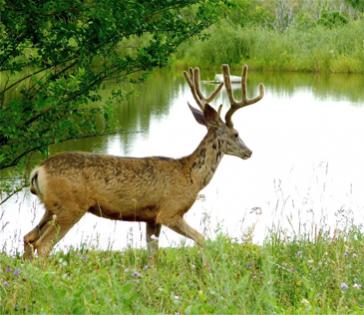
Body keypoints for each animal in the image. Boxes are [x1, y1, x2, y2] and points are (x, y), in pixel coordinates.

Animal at [24, 63, 264, 260]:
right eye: (236, 134)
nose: (249, 151)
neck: (191, 176)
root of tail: (39, 169)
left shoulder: (151, 218)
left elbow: (152, 257)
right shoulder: (170, 212)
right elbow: (202, 239)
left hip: (51, 207)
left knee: (29, 238)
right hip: (70, 207)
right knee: (43, 246)